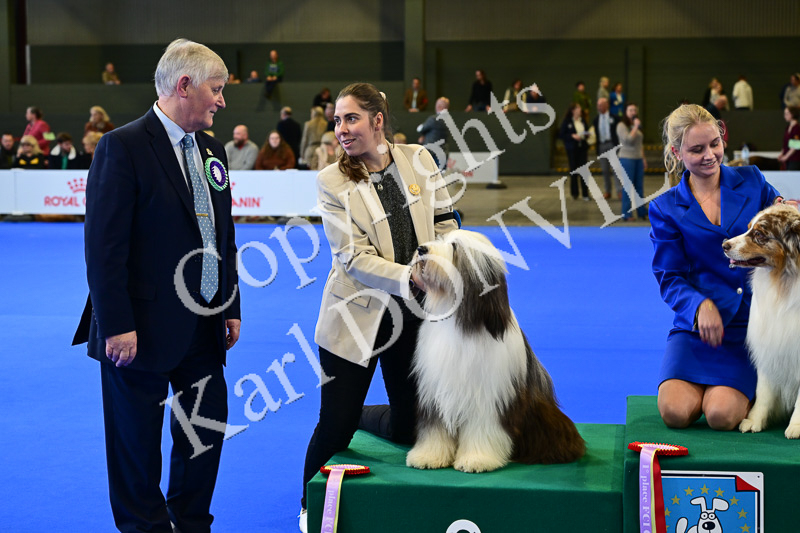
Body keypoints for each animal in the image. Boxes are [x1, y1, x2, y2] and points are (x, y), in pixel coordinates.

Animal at [405, 229, 585, 473]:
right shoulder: (435, 390)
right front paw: (428, 456)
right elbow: (435, 428)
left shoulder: (489, 394)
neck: (461, 320)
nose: (422, 249)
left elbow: (482, 427)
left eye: (454, 247)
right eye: (440, 238)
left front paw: (476, 459)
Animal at [722, 203, 800, 438]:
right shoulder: (768, 342)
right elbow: (763, 390)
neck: (784, 280)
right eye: (749, 227)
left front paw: (796, 426)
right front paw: (754, 420)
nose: (724, 245)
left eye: (759, 235)